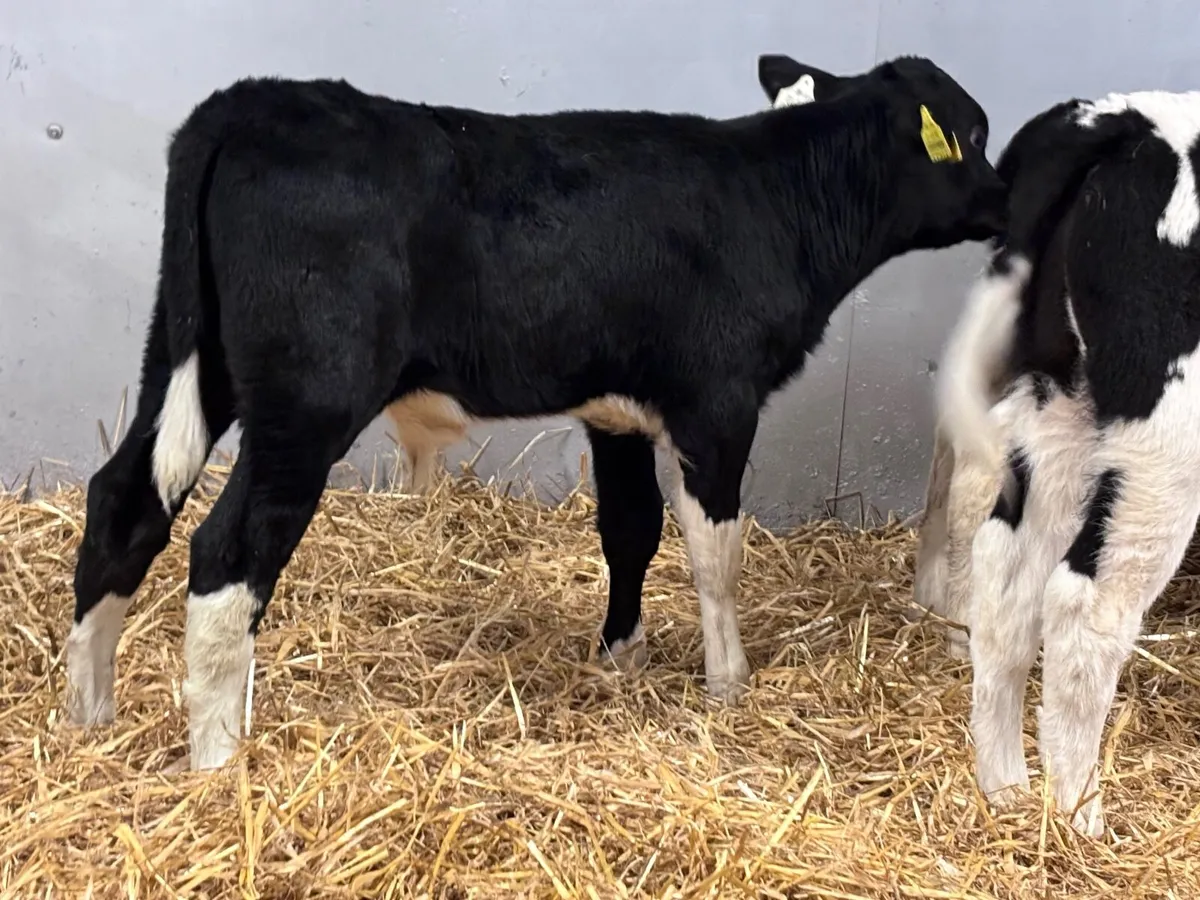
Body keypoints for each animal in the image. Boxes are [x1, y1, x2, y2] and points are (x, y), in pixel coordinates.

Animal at [66, 53, 1006, 771]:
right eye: (974, 134)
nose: (1006, 200)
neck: (776, 202)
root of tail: (251, 100)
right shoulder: (718, 404)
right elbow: (716, 555)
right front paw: (728, 683)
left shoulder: (617, 413)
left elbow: (630, 530)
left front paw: (620, 657)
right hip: (307, 401)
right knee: (227, 550)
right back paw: (218, 760)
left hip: (187, 357)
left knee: (124, 500)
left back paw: (88, 713)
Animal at [912, 89, 1200, 836]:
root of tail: (1123, 118)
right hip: (1166, 445)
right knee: (1084, 606)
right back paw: (1079, 820)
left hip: (1059, 408)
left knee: (1008, 583)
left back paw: (1007, 792)